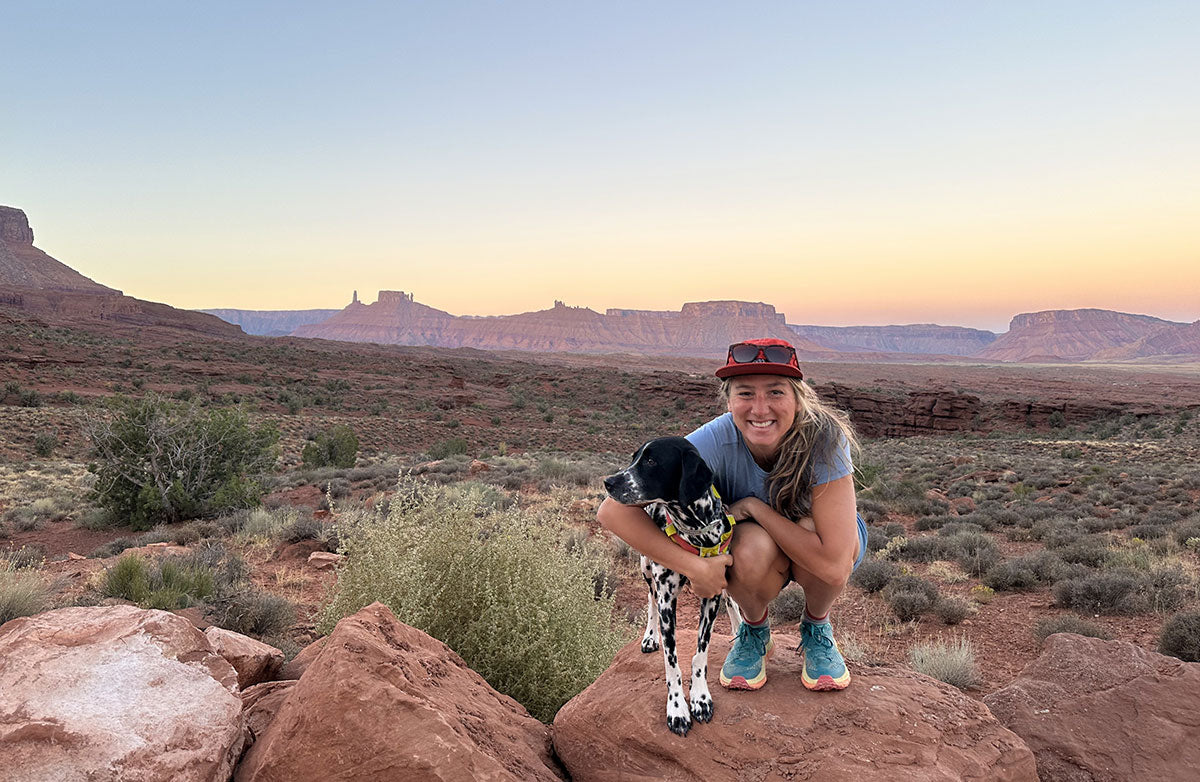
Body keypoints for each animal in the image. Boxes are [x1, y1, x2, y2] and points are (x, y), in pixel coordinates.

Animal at [604, 436, 744, 734]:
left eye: (651, 461)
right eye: (634, 458)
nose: (609, 482)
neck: (695, 530)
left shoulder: (712, 593)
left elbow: (700, 655)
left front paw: (701, 698)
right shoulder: (667, 600)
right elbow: (672, 665)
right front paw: (677, 708)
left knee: (732, 599)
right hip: (646, 568)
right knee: (650, 602)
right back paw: (650, 637)